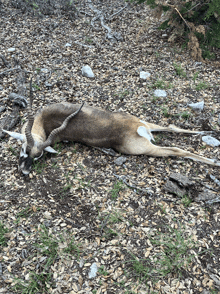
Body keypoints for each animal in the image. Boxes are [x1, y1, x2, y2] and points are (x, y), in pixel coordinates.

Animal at [2, 83, 220, 175]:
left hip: (147, 148)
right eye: (24, 150)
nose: (24, 171)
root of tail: (138, 128)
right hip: (147, 123)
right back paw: (207, 133)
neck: (47, 120)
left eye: (38, 156)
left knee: (176, 150)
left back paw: (214, 162)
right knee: (173, 127)